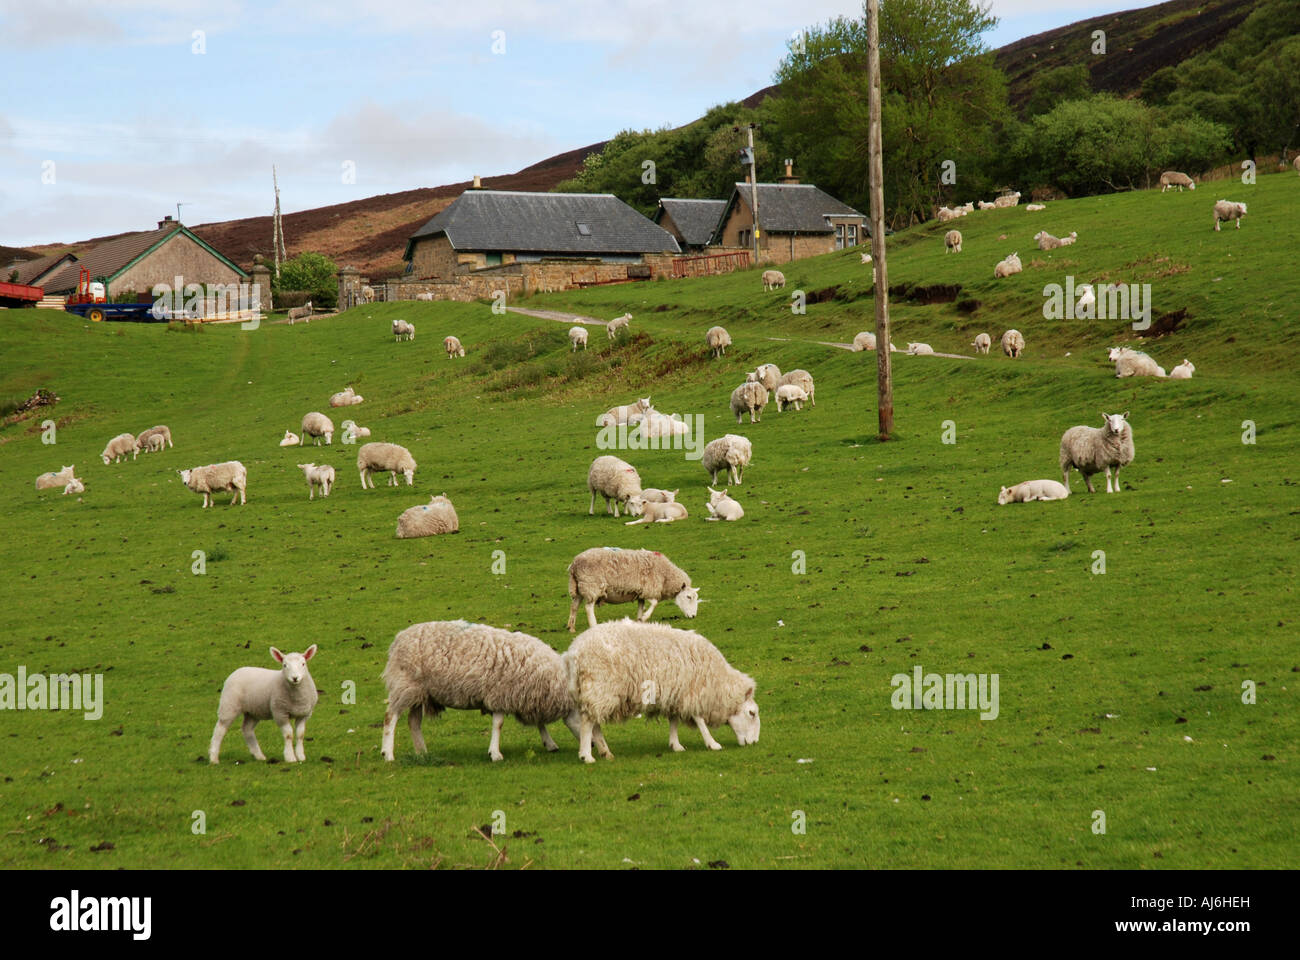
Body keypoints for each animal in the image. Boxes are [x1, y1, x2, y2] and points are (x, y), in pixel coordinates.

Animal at [377, 621, 598, 764]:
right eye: (584, 721)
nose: (594, 745)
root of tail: (398, 640)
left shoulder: (523, 695)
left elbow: (539, 722)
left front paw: (549, 743)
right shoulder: (500, 694)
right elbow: (498, 725)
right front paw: (495, 754)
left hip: (419, 692)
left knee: (413, 722)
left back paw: (422, 752)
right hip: (405, 685)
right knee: (391, 717)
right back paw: (388, 753)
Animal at [561, 621, 759, 764]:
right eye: (752, 713)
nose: (754, 743)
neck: (718, 683)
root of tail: (573, 653)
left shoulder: (676, 694)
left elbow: (674, 721)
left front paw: (675, 744)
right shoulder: (692, 692)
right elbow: (700, 720)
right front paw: (712, 743)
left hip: (593, 693)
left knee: (595, 723)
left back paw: (605, 751)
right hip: (599, 688)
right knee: (588, 723)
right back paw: (587, 755)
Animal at [564, 541, 696, 632]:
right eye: (688, 597)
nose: (693, 616)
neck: (666, 575)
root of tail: (574, 565)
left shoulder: (641, 593)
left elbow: (641, 606)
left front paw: (639, 620)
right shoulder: (650, 589)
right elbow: (654, 603)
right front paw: (644, 617)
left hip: (580, 588)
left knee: (574, 606)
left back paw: (571, 627)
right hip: (592, 586)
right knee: (588, 607)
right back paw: (593, 625)